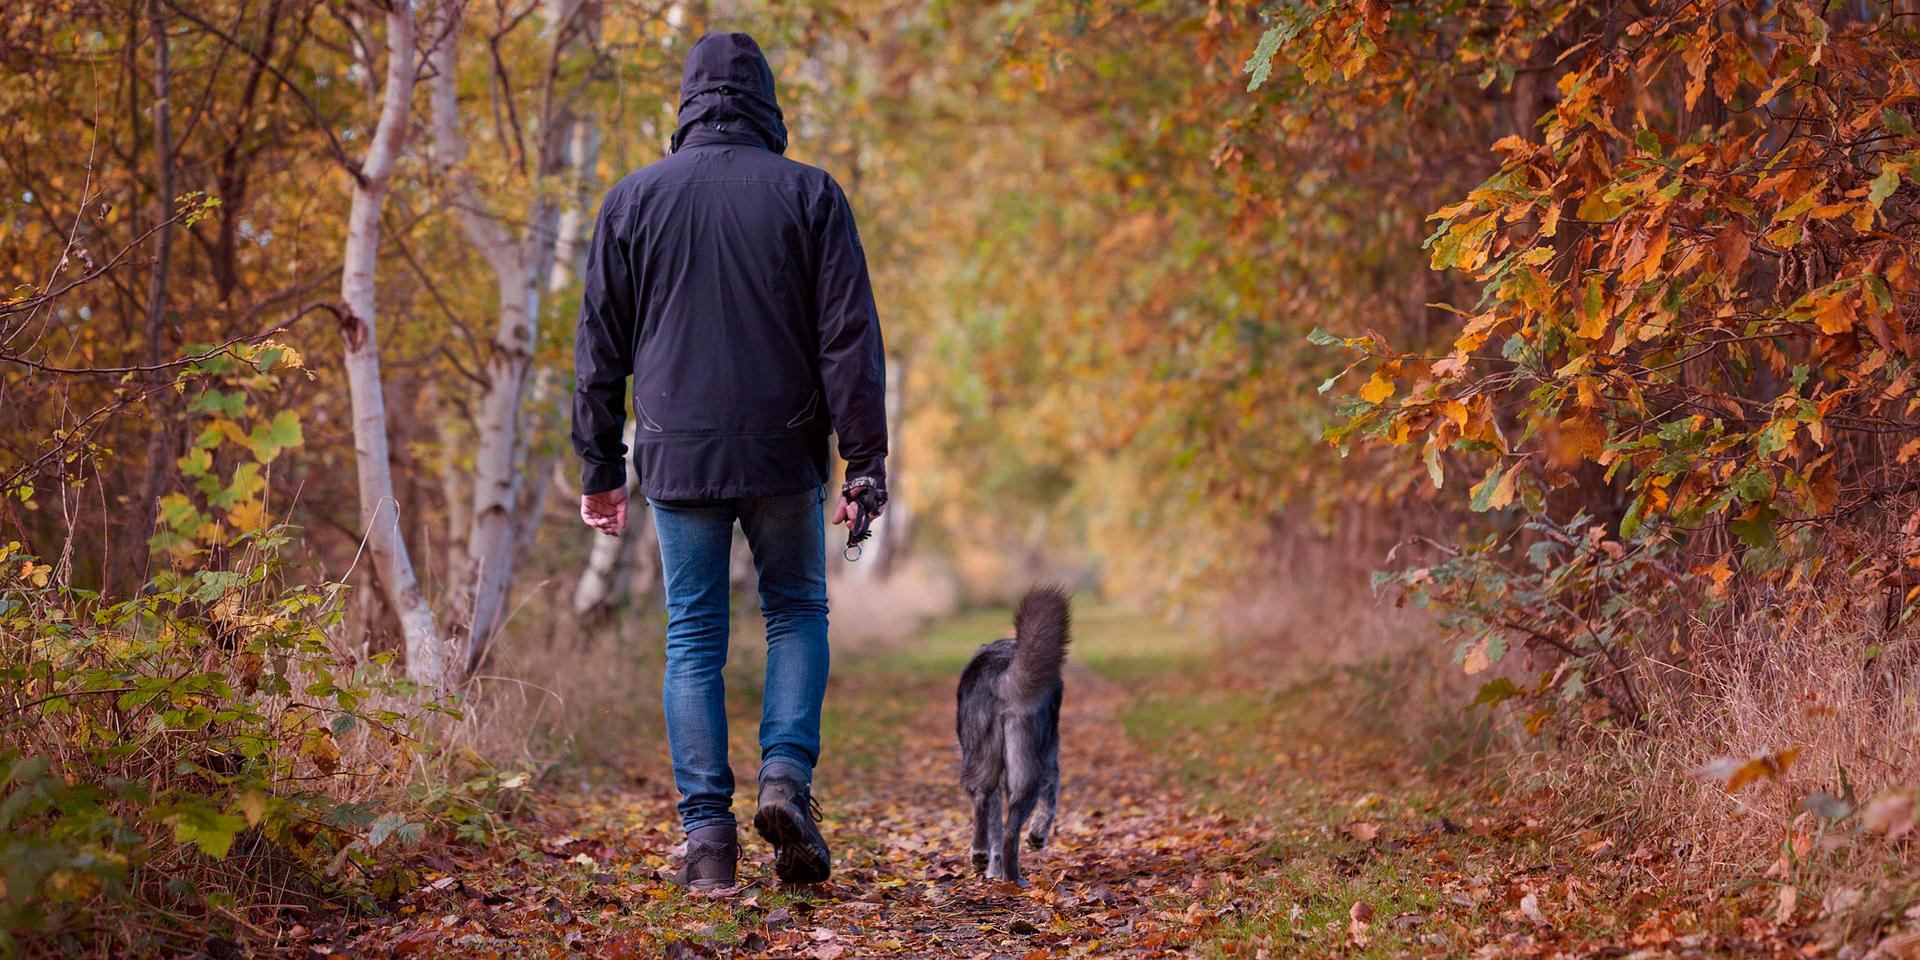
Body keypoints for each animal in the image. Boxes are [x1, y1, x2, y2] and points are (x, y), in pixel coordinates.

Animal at [956, 587, 1075, 887]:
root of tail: (1001, 675)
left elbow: (994, 826)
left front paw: (991, 868)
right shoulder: (1051, 761)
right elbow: (1052, 799)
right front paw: (1037, 836)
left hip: (983, 758)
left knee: (982, 799)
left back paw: (983, 856)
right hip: (1028, 766)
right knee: (1011, 830)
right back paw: (1015, 879)